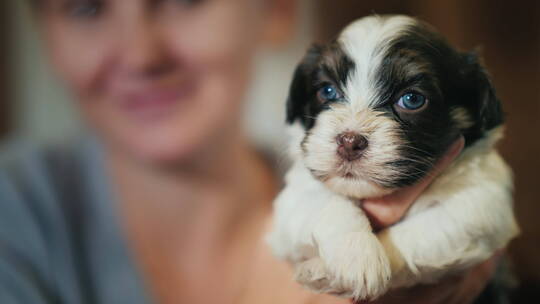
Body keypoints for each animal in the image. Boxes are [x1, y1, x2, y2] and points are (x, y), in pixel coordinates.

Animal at [268, 14, 520, 302]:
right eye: (327, 91)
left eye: (411, 99)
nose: (349, 142)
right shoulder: (291, 204)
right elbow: (328, 202)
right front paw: (353, 256)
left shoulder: (479, 208)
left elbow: (413, 235)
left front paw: (332, 270)